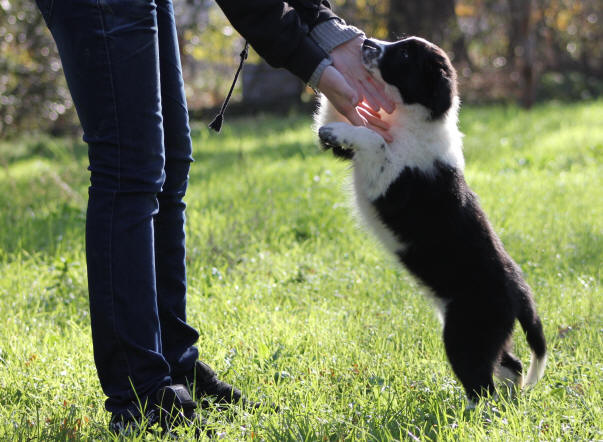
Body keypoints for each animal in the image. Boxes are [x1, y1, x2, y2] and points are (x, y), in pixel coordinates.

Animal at [318, 37, 548, 404]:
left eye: (405, 55)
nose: (366, 42)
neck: (411, 120)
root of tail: (521, 293)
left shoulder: (391, 185)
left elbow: (377, 142)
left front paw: (339, 127)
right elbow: (340, 111)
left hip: (466, 332)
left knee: (481, 384)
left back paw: (469, 413)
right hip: (486, 335)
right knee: (510, 365)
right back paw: (511, 403)